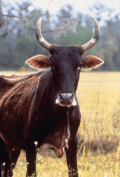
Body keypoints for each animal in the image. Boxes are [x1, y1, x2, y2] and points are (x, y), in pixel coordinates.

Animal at [0, 17, 104, 177]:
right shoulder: (31, 144)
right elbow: (31, 173)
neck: (59, 114)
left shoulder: (72, 142)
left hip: (13, 147)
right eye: (53, 64)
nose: (66, 98)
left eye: (79, 65)